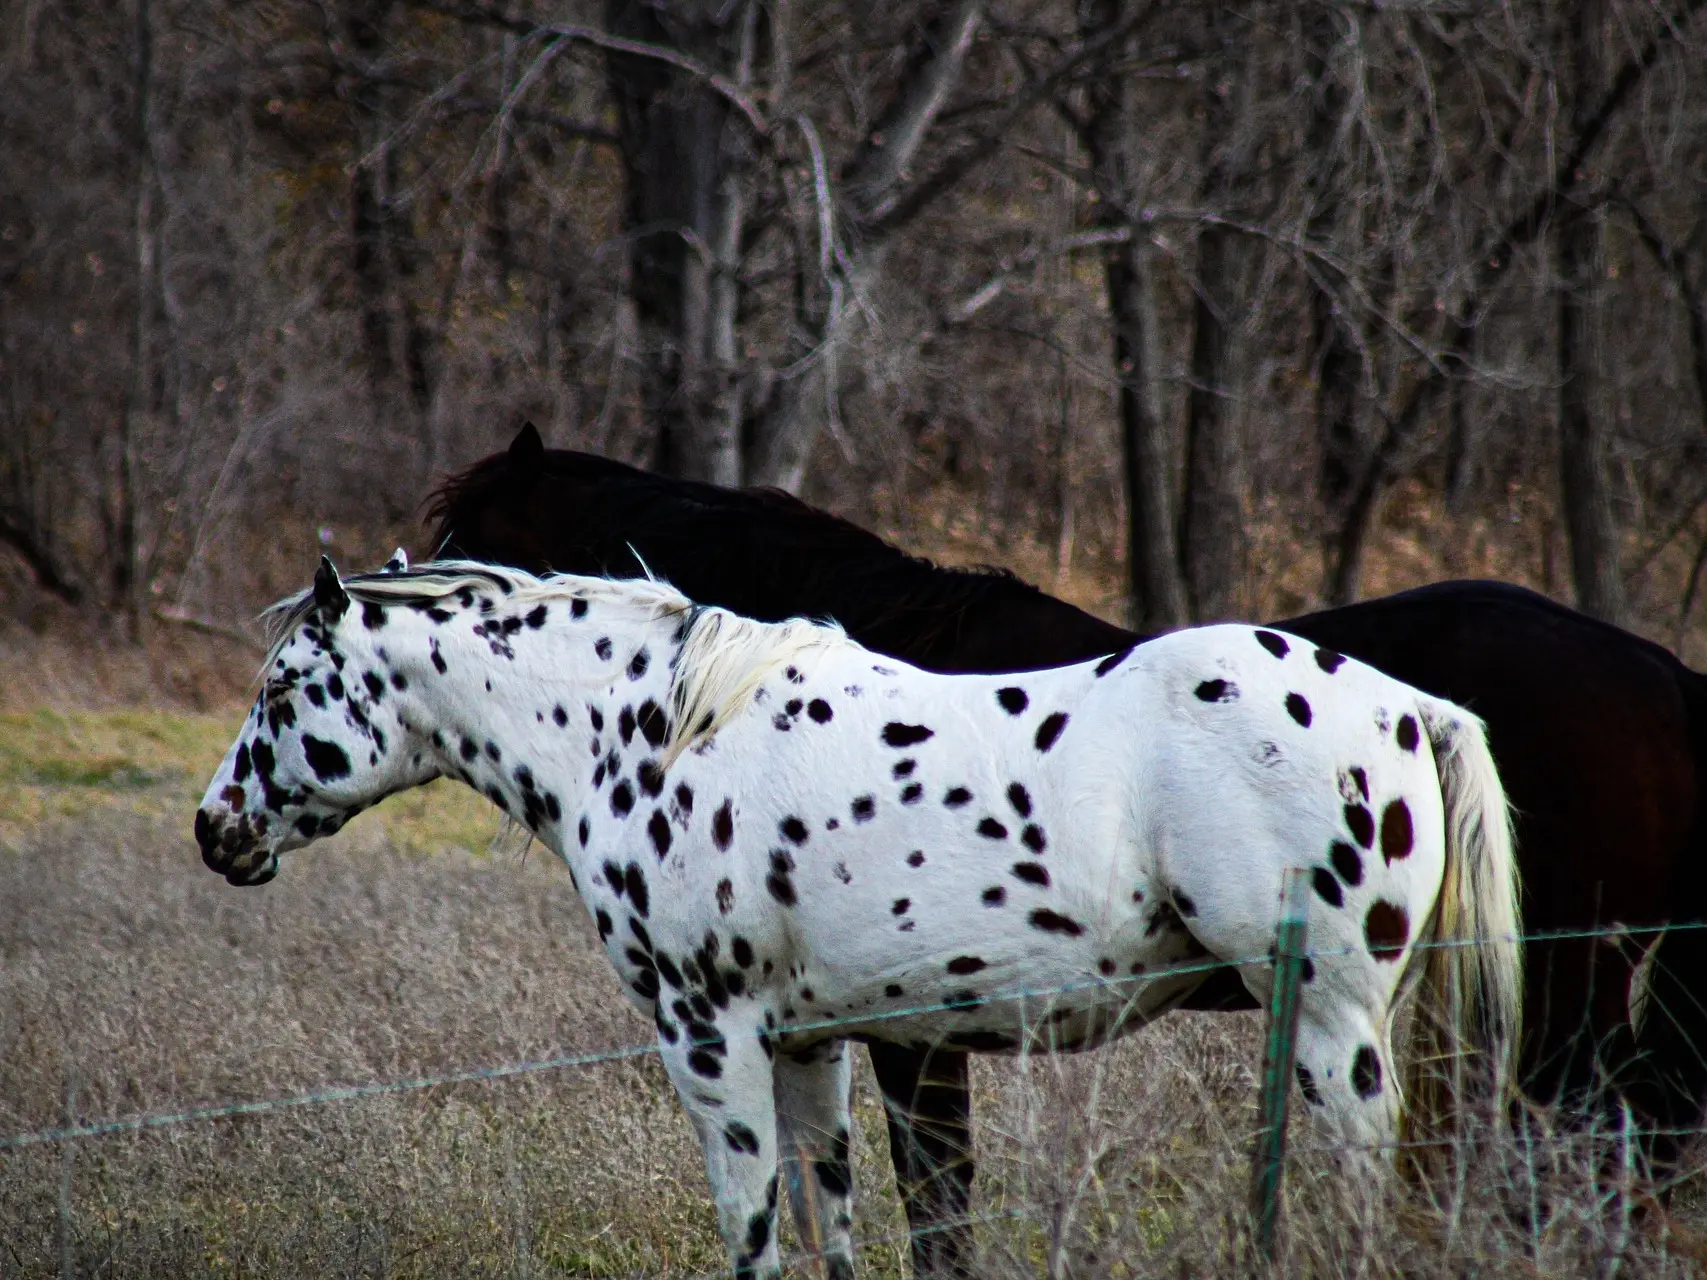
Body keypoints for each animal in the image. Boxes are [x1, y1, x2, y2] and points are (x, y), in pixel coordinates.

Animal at [196, 559, 1522, 1280]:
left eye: (284, 686)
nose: (216, 828)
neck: (654, 736)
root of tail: (1408, 706)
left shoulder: (710, 1041)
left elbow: (753, 1231)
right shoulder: (810, 1045)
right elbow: (831, 1225)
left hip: (1338, 1032)